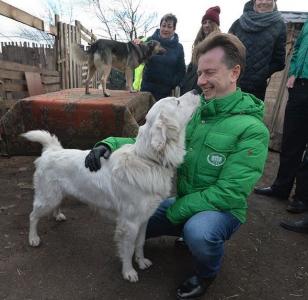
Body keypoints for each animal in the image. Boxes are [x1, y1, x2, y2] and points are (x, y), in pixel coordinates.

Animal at [21, 91, 200, 282]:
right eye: (177, 101)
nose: (196, 91)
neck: (148, 160)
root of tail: (51, 150)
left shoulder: (144, 219)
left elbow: (140, 243)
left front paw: (141, 261)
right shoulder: (129, 223)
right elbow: (128, 249)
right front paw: (129, 271)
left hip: (58, 195)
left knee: (55, 206)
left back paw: (58, 215)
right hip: (47, 198)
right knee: (32, 216)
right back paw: (33, 238)